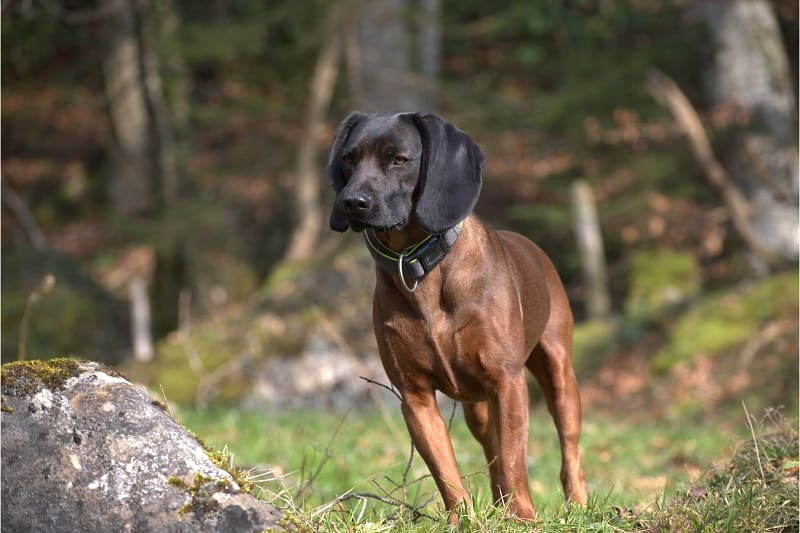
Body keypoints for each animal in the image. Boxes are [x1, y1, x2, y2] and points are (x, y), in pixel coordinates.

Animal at [326, 112, 588, 520]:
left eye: (399, 159)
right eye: (348, 159)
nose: (352, 201)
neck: (420, 266)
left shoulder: (507, 383)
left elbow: (515, 461)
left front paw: (523, 518)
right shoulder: (415, 396)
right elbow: (446, 471)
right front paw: (461, 519)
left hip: (558, 374)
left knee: (568, 449)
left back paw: (575, 504)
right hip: (476, 407)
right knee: (491, 450)